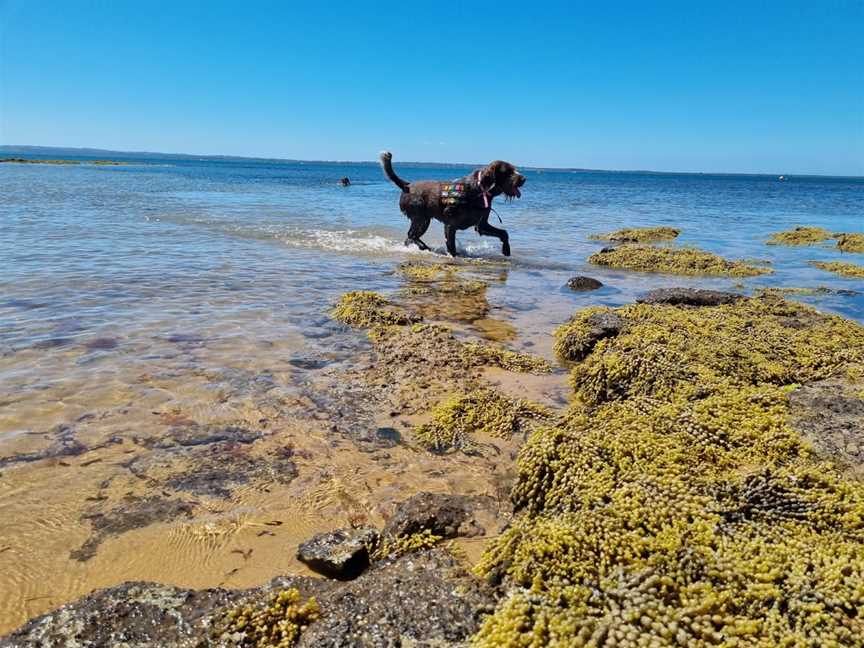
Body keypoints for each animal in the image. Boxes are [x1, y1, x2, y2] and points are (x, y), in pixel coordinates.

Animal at [380, 151, 528, 254]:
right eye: (508, 171)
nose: (524, 178)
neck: (479, 189)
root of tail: (407, 185)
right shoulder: (450, 225)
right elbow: (451, 247)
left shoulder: (481, 225)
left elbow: (504, 233)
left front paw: (506, 249)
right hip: (421, 219)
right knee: (411, 235)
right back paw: (424, 247)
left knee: (409, 238)